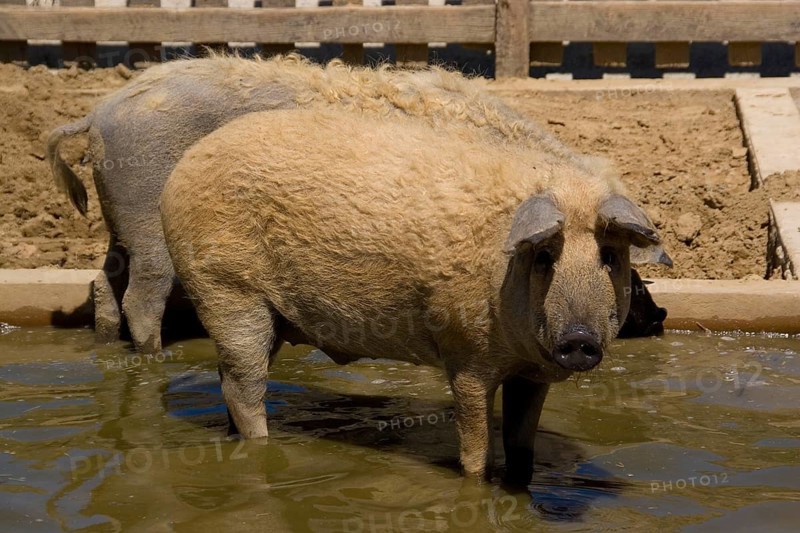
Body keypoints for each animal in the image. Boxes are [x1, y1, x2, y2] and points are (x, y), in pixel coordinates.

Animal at [46, 54, 668, 354]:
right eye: (623, 262)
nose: (659, 316)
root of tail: (99, 113)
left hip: (117, 221)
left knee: (104, 282)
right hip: (148, 220)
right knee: (143, 296)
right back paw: (154, 356)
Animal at [160, 107, 671, 484]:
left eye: (610, 256)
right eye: (545, 256)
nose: (580, 338)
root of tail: (184, 163)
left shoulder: (532, 375)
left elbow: (522, 447)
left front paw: (521, 483)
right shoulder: (466, 355)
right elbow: (475, 449)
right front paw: (477, 482)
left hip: (267, 313)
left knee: (232, 379)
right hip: (226, 289)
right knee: (242, 384)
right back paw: (261, 445)